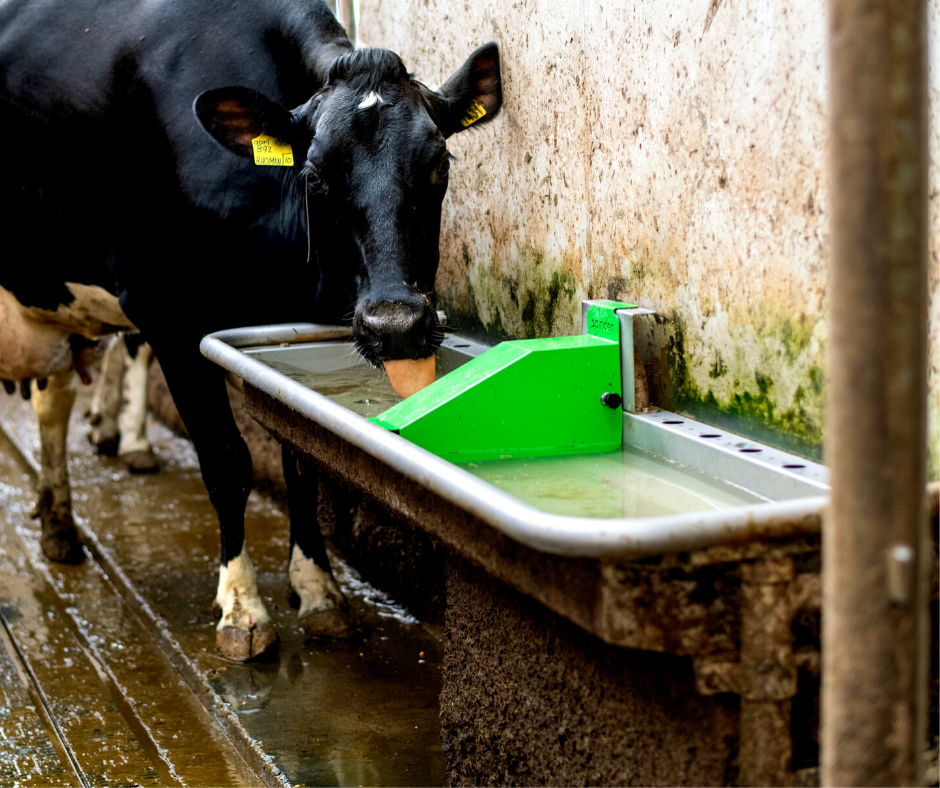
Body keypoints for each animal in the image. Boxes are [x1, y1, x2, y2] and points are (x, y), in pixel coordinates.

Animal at [0, 0, 500, 660]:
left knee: (52, 398)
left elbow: (304, 467)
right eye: (314, 176)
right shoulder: (168, 313)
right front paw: (242, 606)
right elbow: (226, 462)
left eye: (439, 164)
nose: (395, 323)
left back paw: (58, 521)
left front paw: (318, 590)